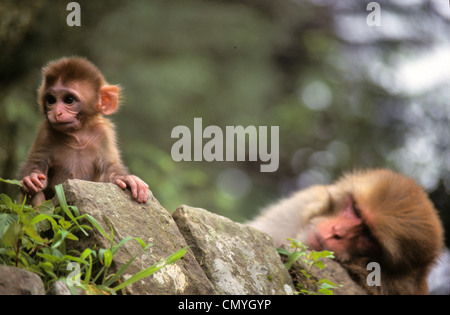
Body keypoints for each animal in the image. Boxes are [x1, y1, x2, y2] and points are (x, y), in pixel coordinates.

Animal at [19, 57, 149, 207]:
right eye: (51, 100)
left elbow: (109, 170)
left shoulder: (104, 134)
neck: (78, 135)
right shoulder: (44, 132)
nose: (56, 113)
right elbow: (37, 164)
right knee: (38, 195)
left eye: (69, 100)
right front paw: (31, 178)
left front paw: (126, 178)